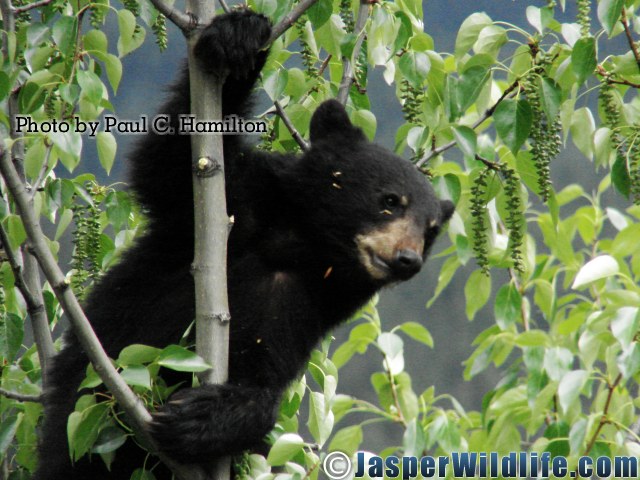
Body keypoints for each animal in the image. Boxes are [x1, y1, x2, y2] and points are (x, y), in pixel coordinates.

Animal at [34, 9, 454, 480]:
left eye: (430, 229)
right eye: (390, 200)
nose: (408, 259)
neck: (300, 248)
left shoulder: (302, 309)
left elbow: (264, 378)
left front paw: (204, 416)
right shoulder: (234, 206)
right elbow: (175, 160)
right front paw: (239, 39)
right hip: (76, 423)